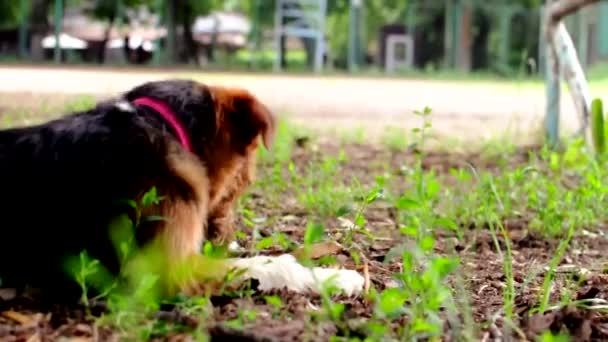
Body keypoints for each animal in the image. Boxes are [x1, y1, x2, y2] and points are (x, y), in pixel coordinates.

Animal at [0, 79, 360, 298]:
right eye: (244, 184)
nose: (227, 240)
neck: (164, 126)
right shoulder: (171, 267)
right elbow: (268, 264)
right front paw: (337, 277)